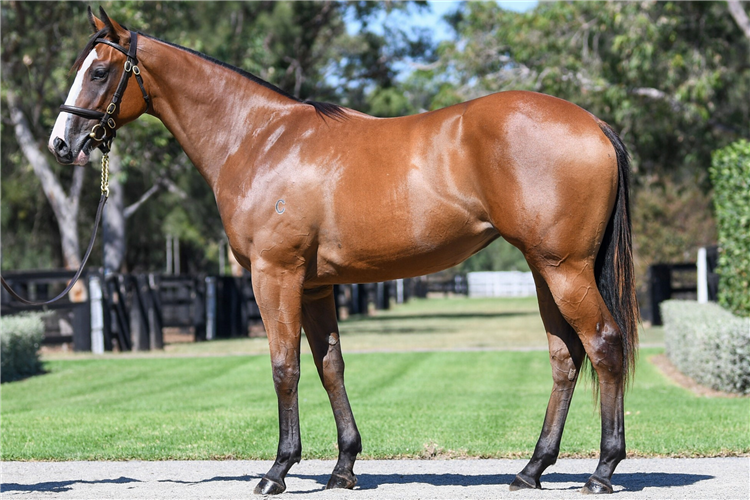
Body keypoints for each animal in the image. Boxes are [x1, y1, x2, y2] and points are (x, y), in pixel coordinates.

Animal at [50, 8, 640, 496]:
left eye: (99, 72)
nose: (61, 143)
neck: (260, 138)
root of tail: (594, 124)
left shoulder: (275, 276)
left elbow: (284, 367)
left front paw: (277, 470)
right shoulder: (315, 286)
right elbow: (329, 364)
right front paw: (343, 467)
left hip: (564, 269)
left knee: (604, 344)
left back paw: (602, 471)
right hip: (545, 270)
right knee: (566, 357)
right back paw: (532, 469)